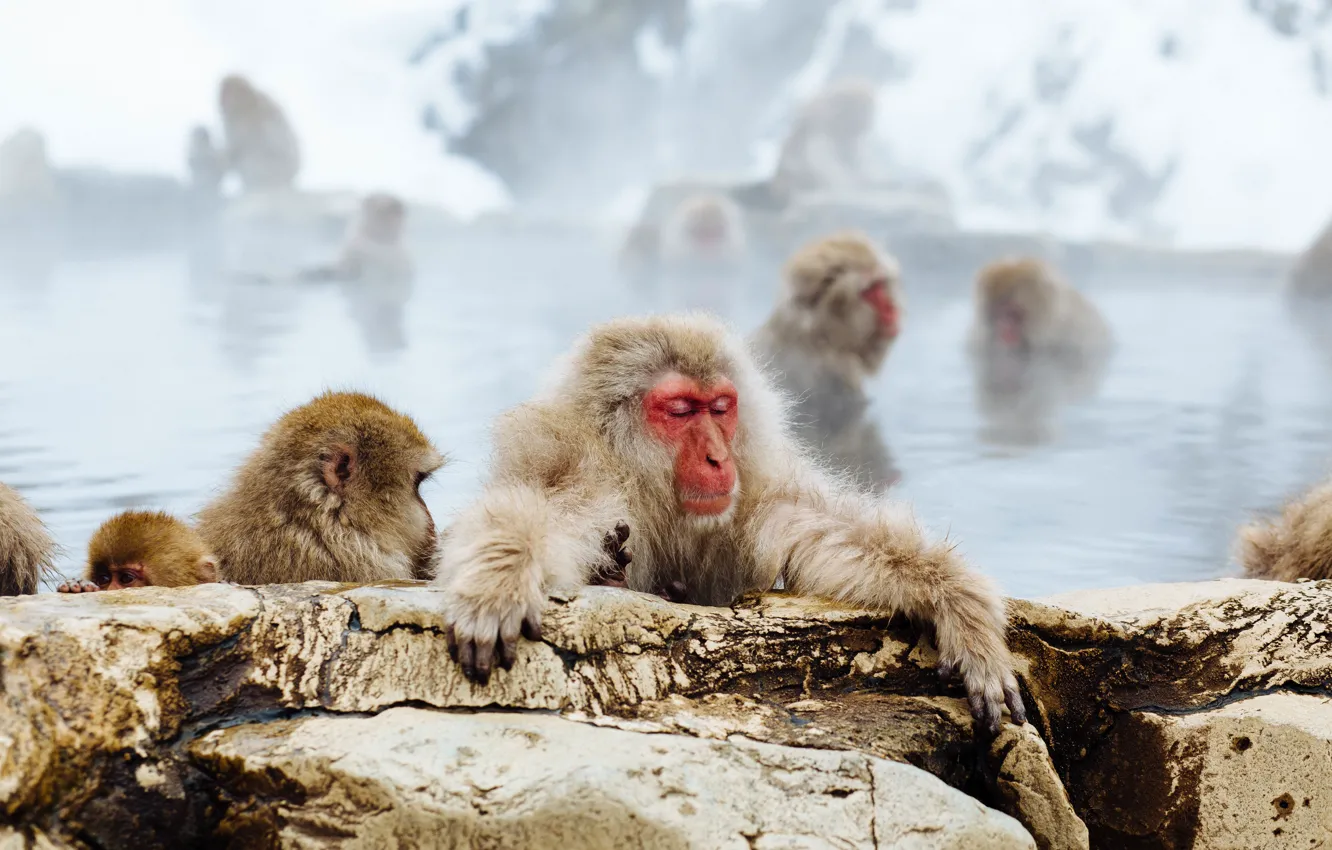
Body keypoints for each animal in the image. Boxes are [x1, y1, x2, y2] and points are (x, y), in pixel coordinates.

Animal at [435, 314, 1025, 735]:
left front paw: (960, 607)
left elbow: (824, 534)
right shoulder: (579, 469)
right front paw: (499, 580)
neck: (649, 487)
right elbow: (539, 513)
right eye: (680, 410)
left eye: (720, 408)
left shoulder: (753, 491)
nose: (718, 458)